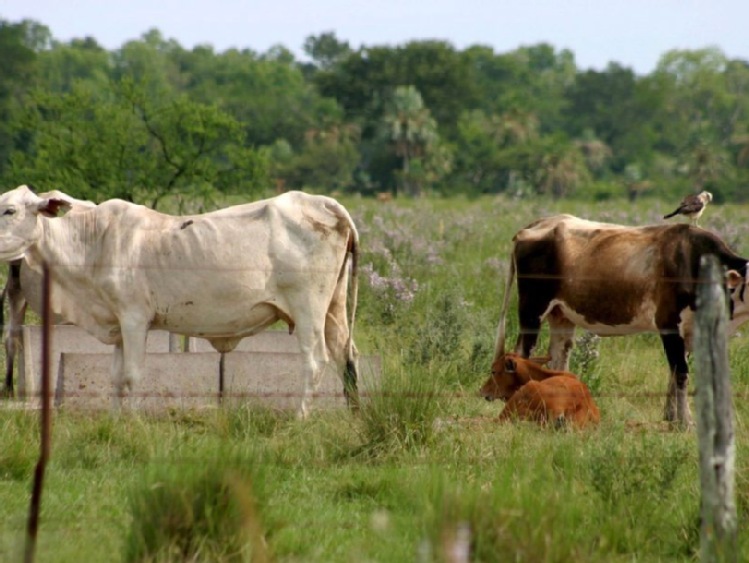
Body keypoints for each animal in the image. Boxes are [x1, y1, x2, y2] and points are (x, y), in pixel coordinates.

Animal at [0, 186, 360, 418]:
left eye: (9, 209)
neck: (93, 241)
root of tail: (325, 203)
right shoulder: (118, 324)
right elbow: (115, 377)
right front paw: (113, 422)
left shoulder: (134, 319)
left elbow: (131, 375)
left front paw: (130, 423)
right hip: (333, 309)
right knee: (347, 356)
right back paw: (356, 415)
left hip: (308, 309)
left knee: (315, 361)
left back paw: (300, 418)